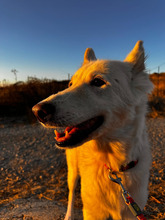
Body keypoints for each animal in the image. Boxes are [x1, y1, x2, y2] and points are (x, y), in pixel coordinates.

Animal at [32, 40, 153, 218]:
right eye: (70, 84)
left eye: (98, 82)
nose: (37, 111)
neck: (113, 167)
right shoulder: (93, 212)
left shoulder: (131, 212)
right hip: (72, 172)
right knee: (71, 193)